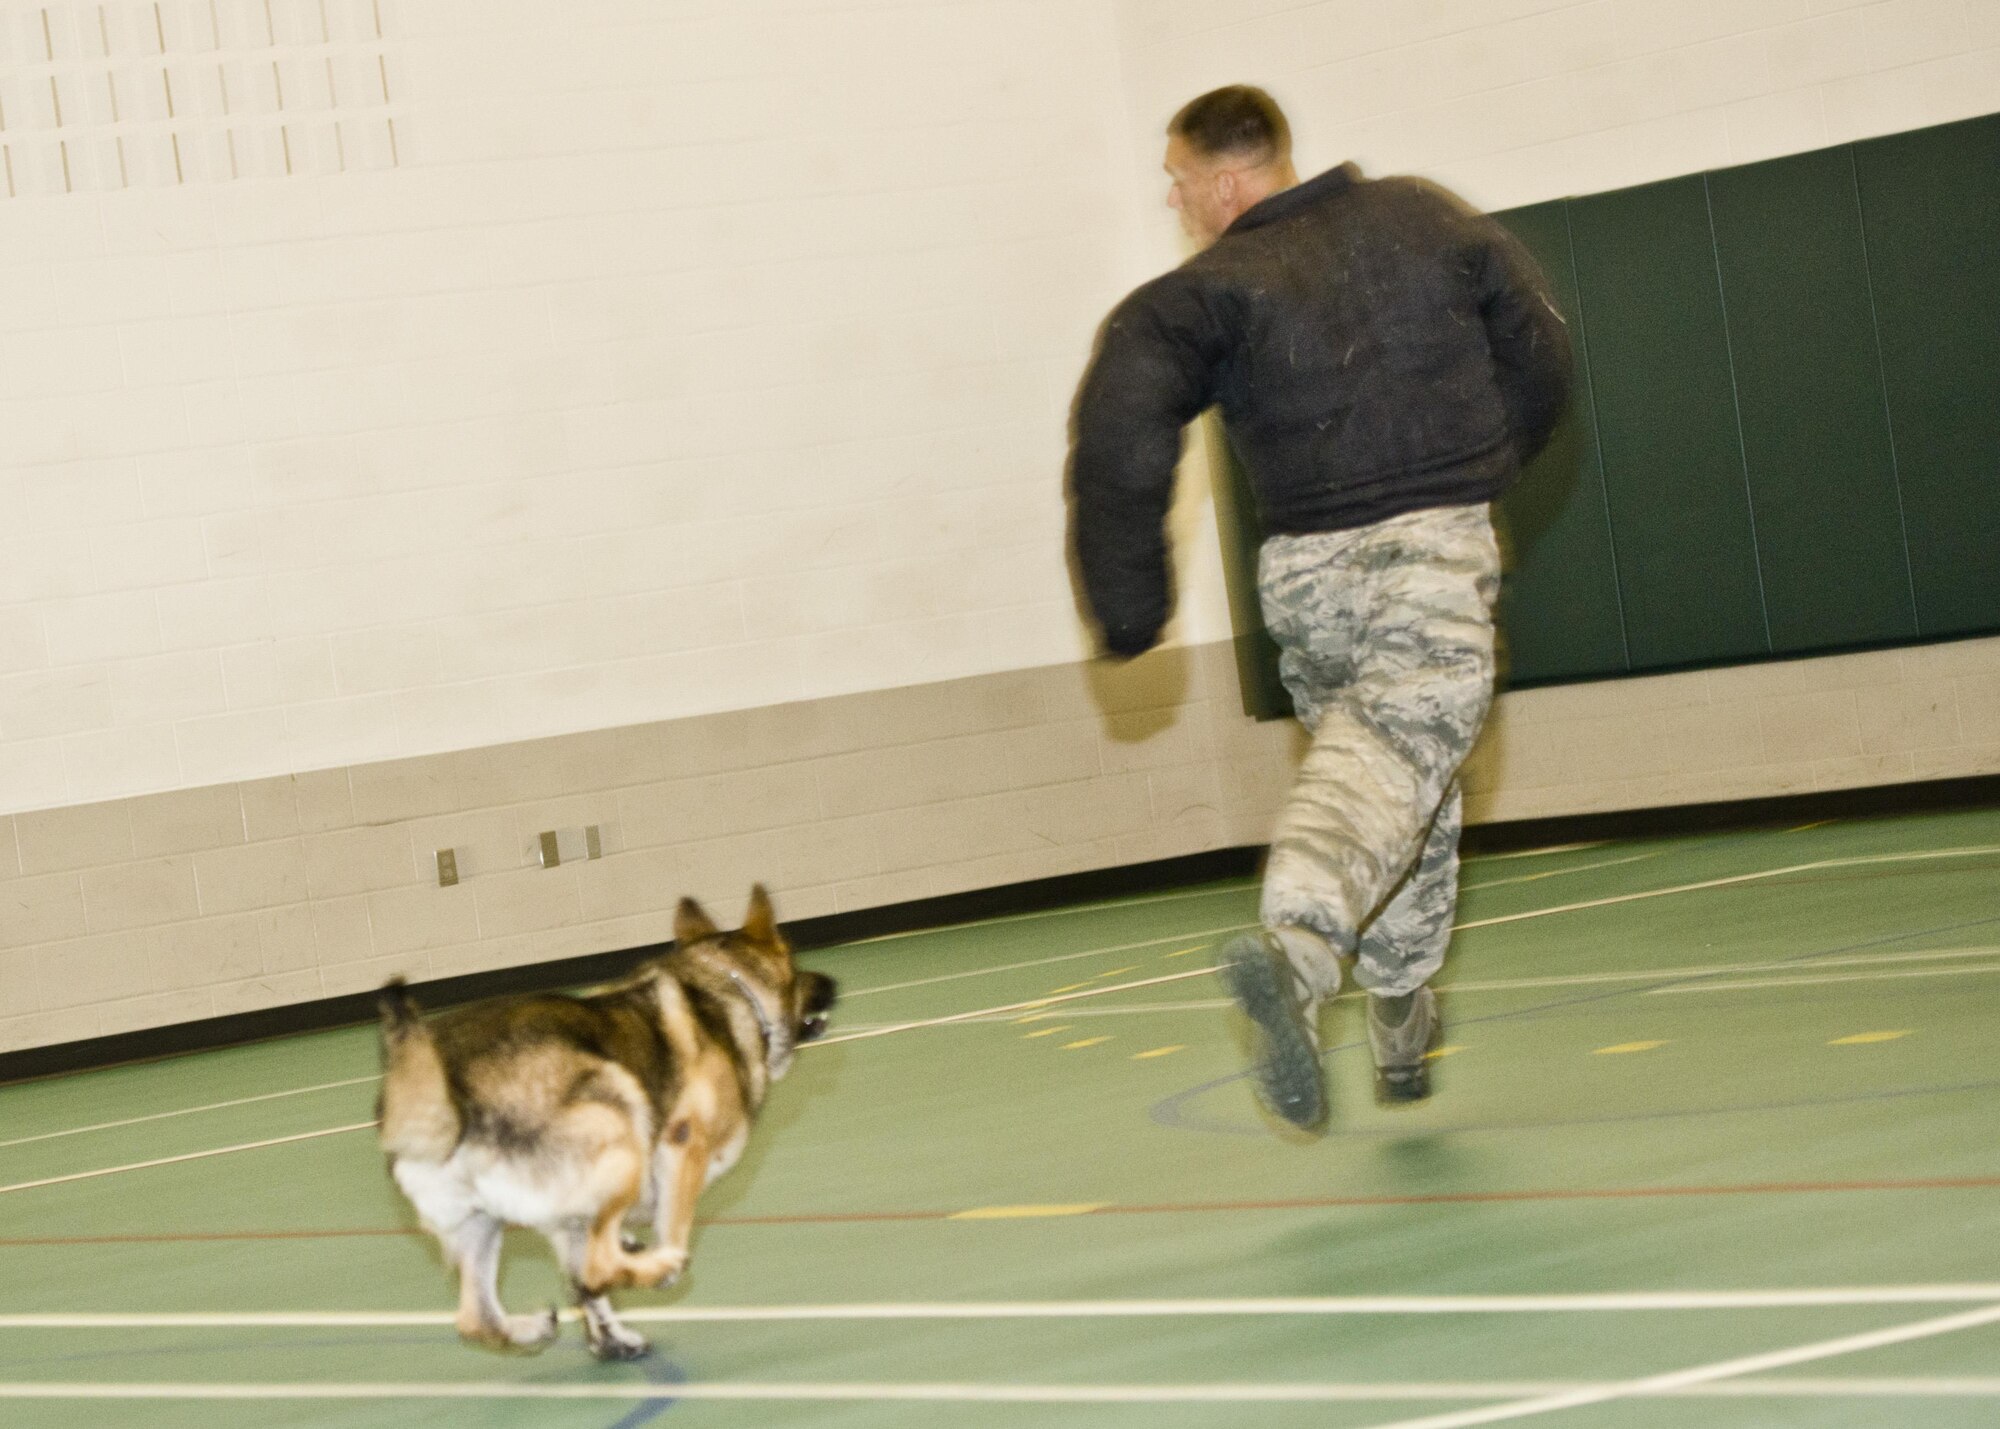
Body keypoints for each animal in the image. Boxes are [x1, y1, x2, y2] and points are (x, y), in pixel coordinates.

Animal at [376, 880, 836, 1360]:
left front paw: (609, 1336)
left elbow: (584, 1285)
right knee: (598, 1266)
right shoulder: (681, 1144)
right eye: (795, 963)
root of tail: (451, 1090)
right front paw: (652, 1267)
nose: (833, 984)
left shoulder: (565, 1219)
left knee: (478, 1317)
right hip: (620, 1121)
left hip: (480, 1222)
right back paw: (655, 1267)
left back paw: (539, 1327)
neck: (730, 988)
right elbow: (662, 1231)